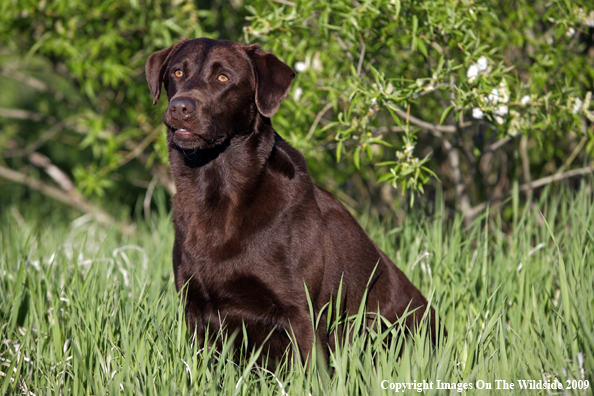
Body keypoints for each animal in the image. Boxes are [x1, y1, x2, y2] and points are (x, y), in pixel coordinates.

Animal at [144, 38, 440, 364]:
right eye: (177, 72)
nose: (180, 107)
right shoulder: (197, 311)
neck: (217, 190)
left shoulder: (302, 313)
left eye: (223, 78)